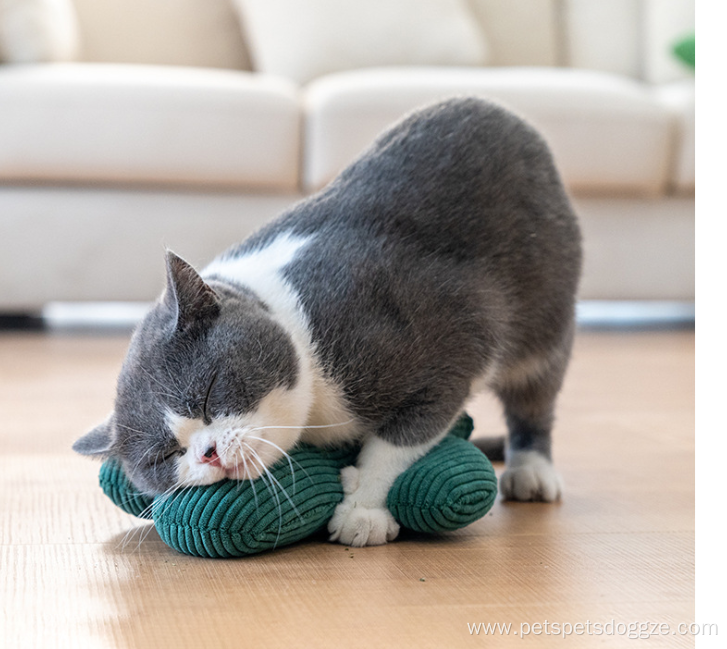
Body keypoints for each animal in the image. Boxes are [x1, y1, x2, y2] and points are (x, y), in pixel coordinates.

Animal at [74, 97, 584, 548]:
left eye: (208, 393)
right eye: (164, 456)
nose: (208, 452)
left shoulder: (454, 328)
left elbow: (403, 434)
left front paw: (362, 510)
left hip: (546, 317)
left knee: (534, 399)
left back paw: (531, 470)